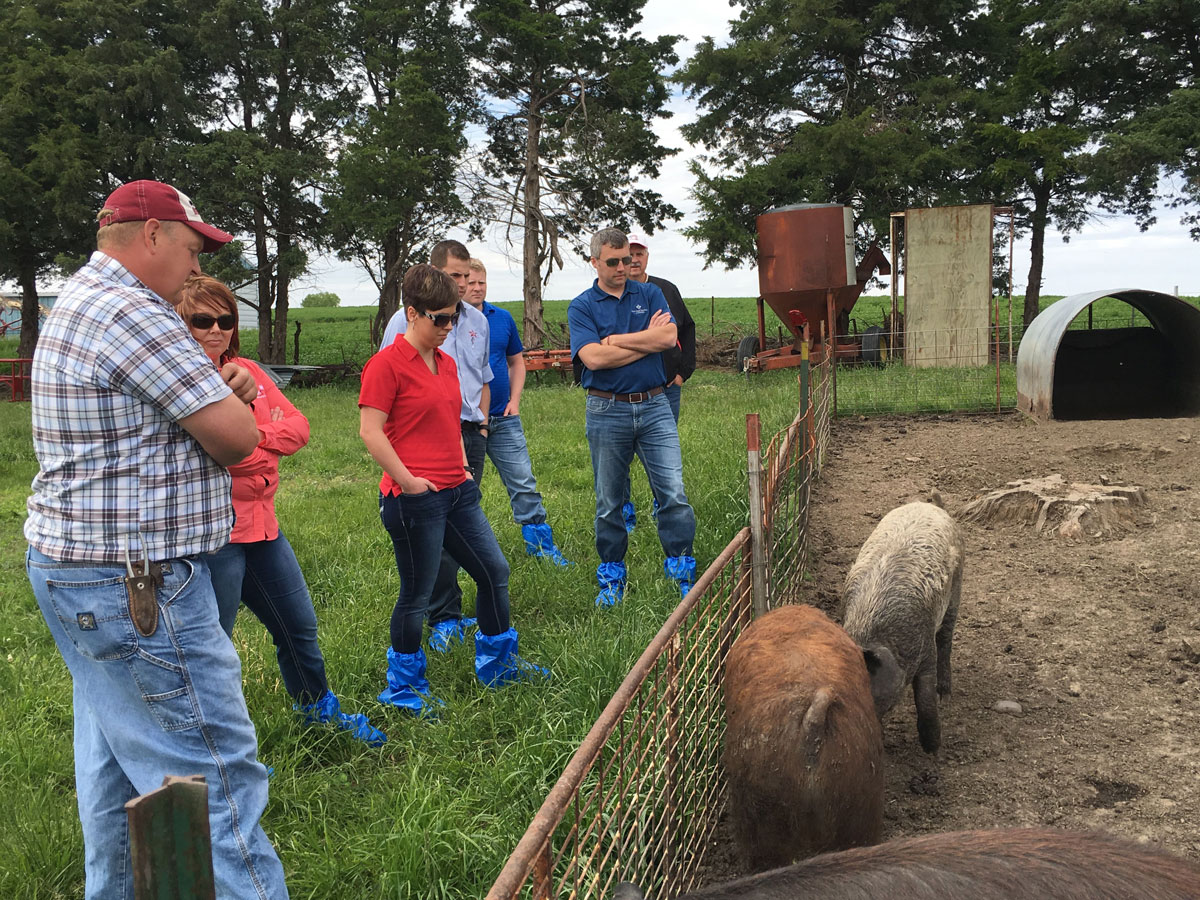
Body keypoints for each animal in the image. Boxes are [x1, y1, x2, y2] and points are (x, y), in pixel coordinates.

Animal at [844, 501, 964, 753]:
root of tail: (930, 505)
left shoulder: (925, 648)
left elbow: (925, 698)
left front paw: (933, 749)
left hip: (956, 588)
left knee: (946, 640)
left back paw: (945, 697)